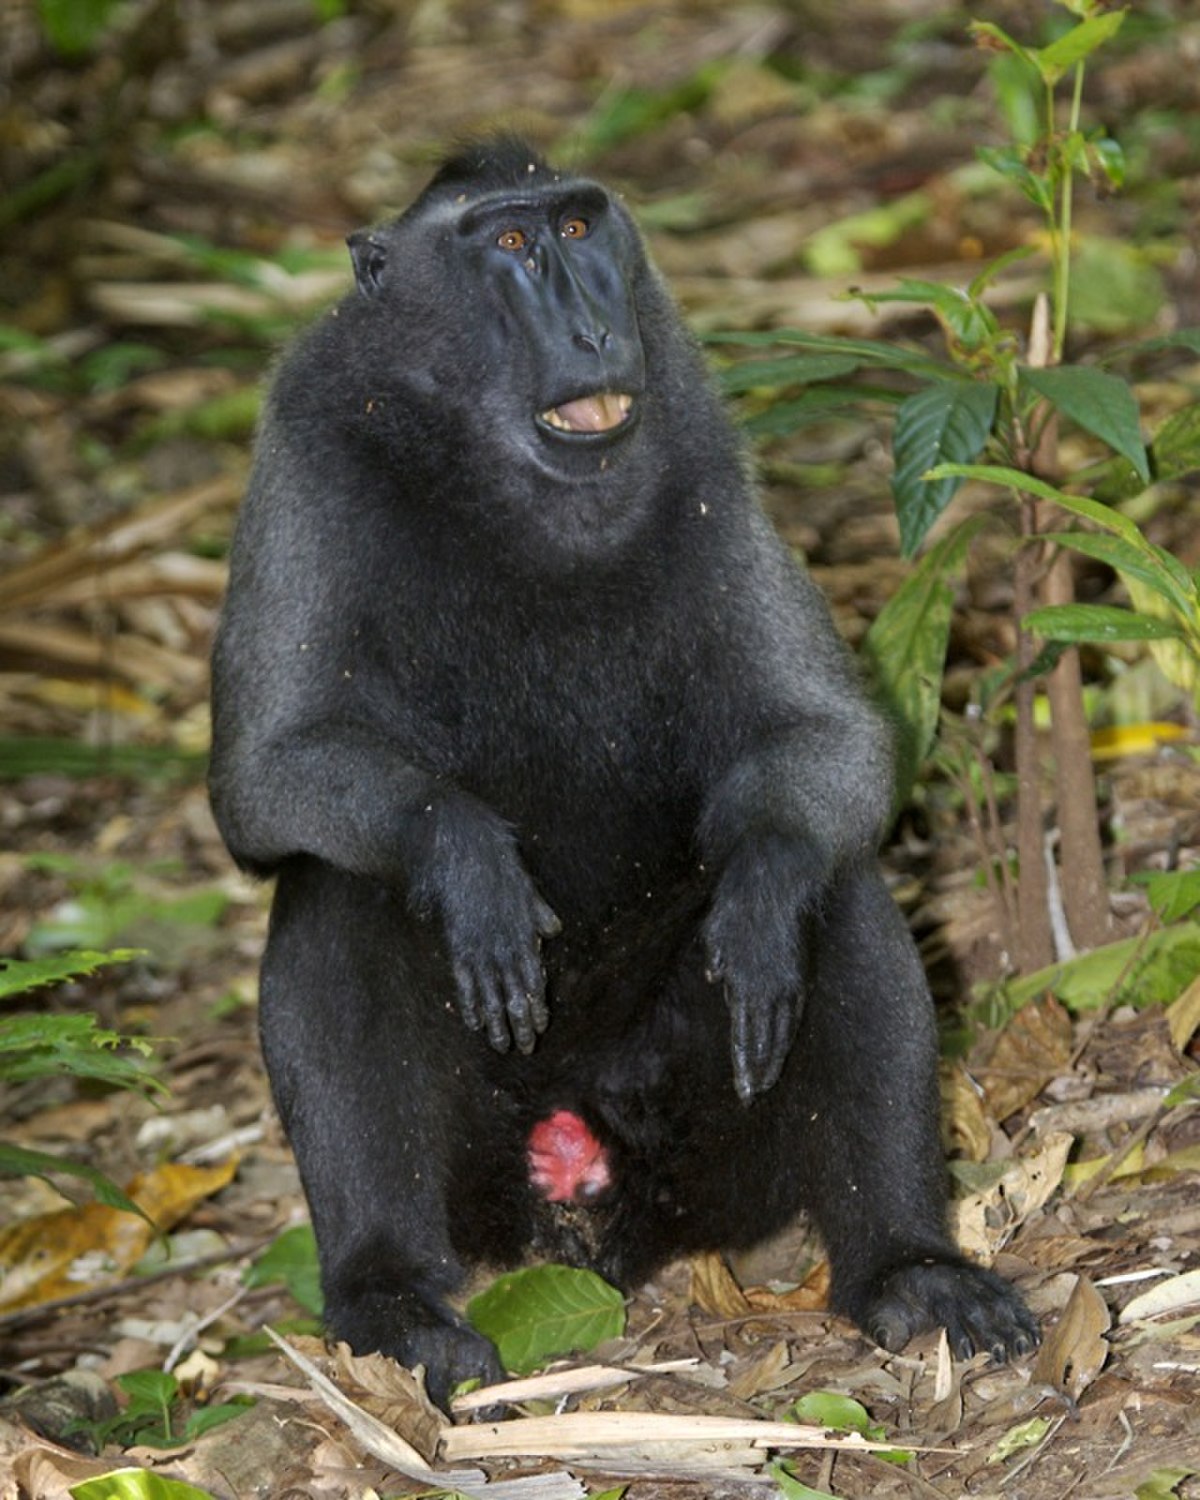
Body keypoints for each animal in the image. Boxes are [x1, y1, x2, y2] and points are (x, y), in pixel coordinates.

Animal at [209, 136, 1038, 1409]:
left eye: (578, 227)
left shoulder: (702, 436)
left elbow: (829, 746)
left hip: (709, 1148)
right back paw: (394, 1304)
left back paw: (909, 1267)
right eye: (508, 244)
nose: (595, 327)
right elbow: (261, 779)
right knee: (339, 887)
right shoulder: (305, 436)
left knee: (831, 881)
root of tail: (585, 1178)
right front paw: (469, 861)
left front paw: (759, 901)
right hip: (485, 1174)